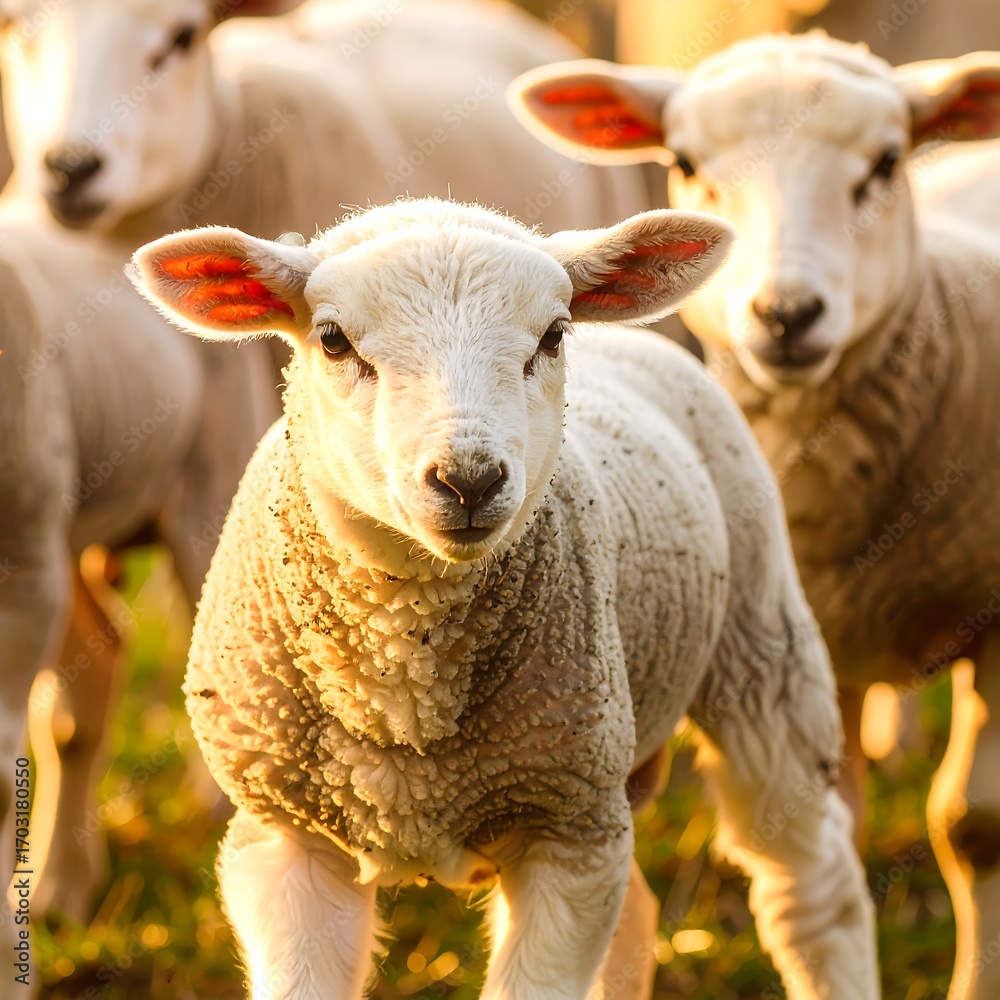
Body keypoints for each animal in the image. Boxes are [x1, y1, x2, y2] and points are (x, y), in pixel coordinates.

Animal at [129, 197, 879, 1000]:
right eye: (331, 339)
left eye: (553, 334)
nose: (469, 480)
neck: (407, 674)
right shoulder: (285, 839)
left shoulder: (565, 832)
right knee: (639, 918)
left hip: (760, 653)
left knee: (812, 892)